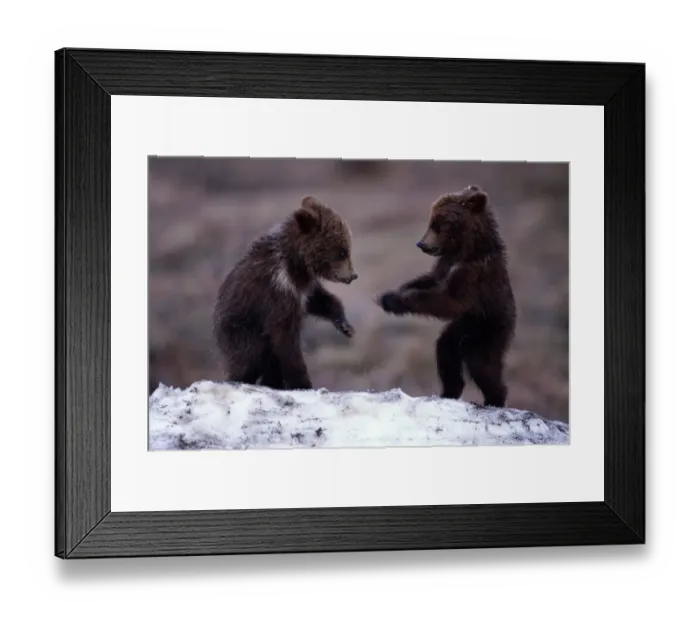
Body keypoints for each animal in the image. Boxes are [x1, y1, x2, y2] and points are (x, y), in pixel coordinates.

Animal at [213, 196, 357, 390]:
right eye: (343, 251)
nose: (353, 275)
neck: (296, 263)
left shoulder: (302, 288)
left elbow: (319, 301)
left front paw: (346, 326)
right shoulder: (277, 290)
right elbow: (285, 337)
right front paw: (303, 382)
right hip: (241, 329)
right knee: (251, 357)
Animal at [377, 185, 516, 407]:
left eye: (438, 224)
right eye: (431, 221)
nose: (421, 243)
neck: (467, 250)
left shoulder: (473, 275)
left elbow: (450, 302)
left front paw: (396, 301)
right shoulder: (446, 263)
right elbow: (431, 279)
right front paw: (390, 294)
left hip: (487, 328)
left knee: (482, 365)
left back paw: (494, 399)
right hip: (465, 328)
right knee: (446, 349)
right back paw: (450, 390)